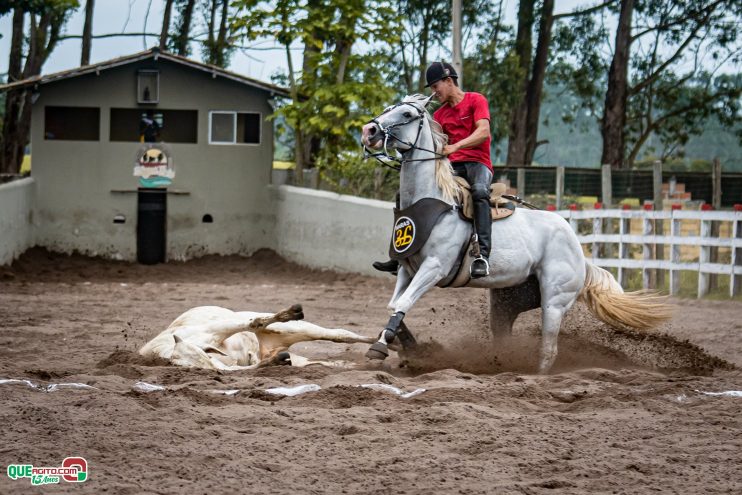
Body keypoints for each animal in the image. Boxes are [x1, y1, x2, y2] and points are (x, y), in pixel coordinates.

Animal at [137, 304, 374, 370]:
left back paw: (378, 342)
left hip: (297, 329)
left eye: (203, 356)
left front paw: (289, 312)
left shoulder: (213, 330)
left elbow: (253, 323)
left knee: (339, 335)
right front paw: (275, 362)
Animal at [364, 94, 672, 372]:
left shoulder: (434, 268)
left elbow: (403, 302)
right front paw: (401, 343)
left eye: (406, 114)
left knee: (549, 349)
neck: (433, 200)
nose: (369, 131)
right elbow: (394, 305)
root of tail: (579, 253)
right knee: (504, 337)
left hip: (554, 302)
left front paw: (380, 346)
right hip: (508, 301)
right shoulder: (409, 269)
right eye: (388, 108)